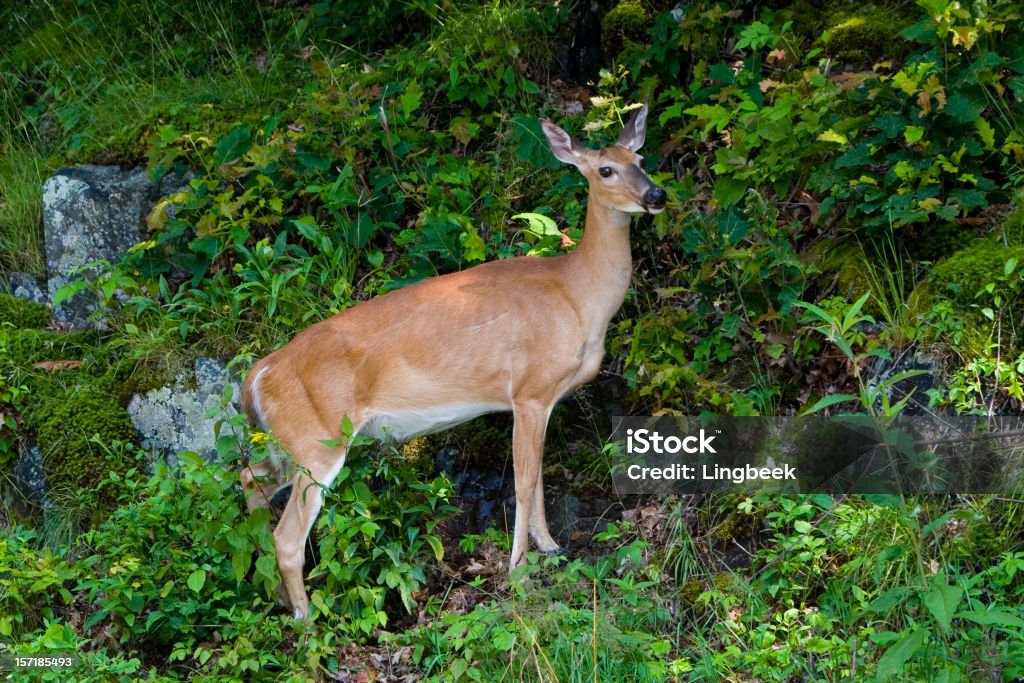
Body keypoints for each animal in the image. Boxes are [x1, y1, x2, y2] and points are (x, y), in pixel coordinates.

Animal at [241, 105, 671, 618]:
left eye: (640, 158)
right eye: (605, 169)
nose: (657, 194)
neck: (577, 295)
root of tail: (256, 376)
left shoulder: (542, 398)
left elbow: (538, 477)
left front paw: (549, 545)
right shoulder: (529, 390)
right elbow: (523, 481)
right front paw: (517, 572)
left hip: (287, 443)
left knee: (249, 480)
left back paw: (273, 595)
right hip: (317, 442)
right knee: (286, 536)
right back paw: (305, 620)